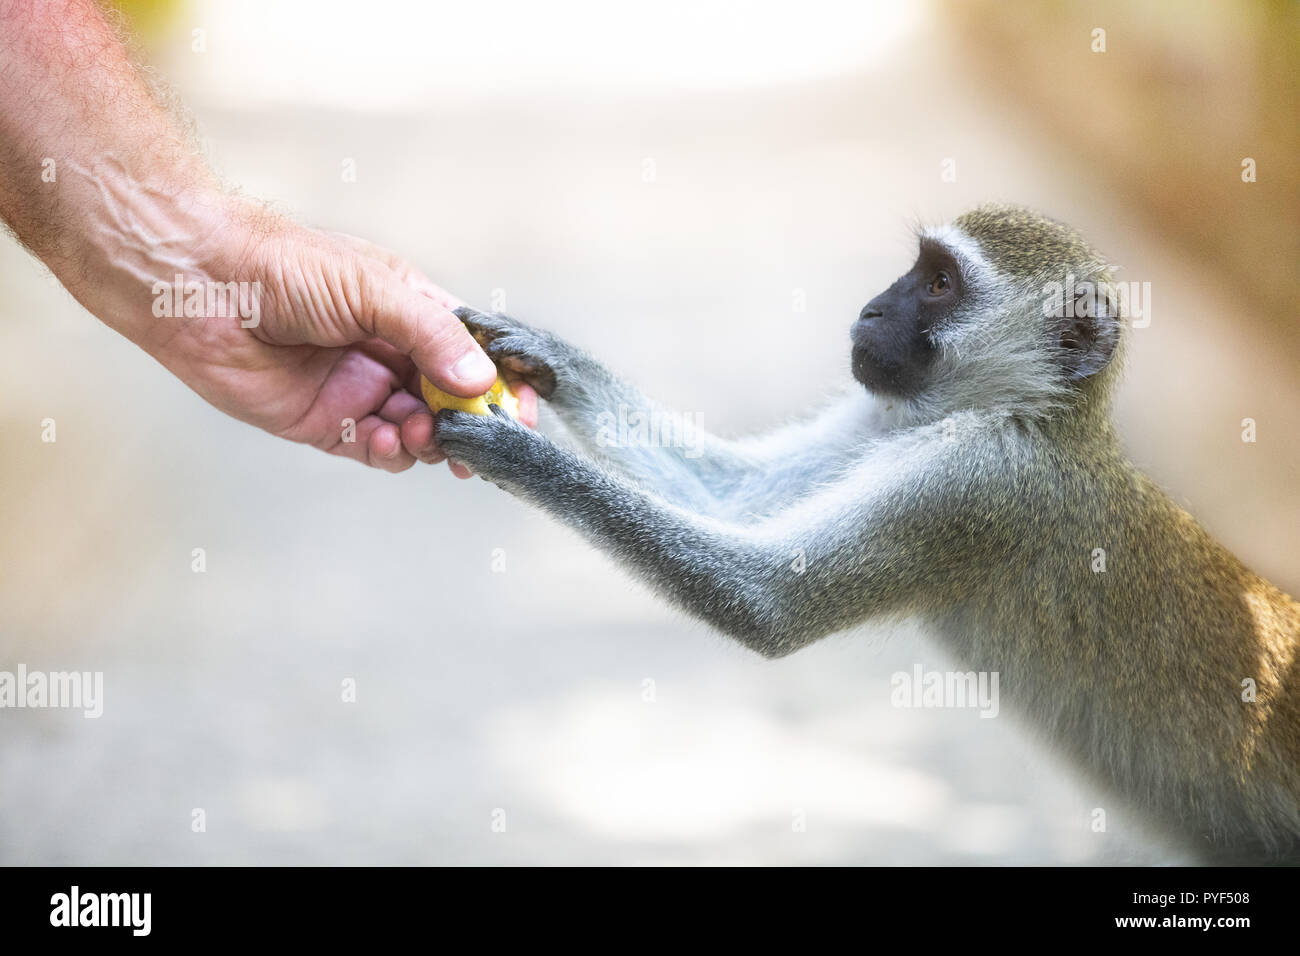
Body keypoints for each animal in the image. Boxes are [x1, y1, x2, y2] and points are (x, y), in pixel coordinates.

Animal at [434, 205, 1300, 863]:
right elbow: (738, 496)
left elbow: (765, 599)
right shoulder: (888, 422)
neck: (1026, 414)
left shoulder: (974, 483)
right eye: (918, 270)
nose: (873, 309)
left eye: (941, 284)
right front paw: (545, 355)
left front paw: (518, 453)